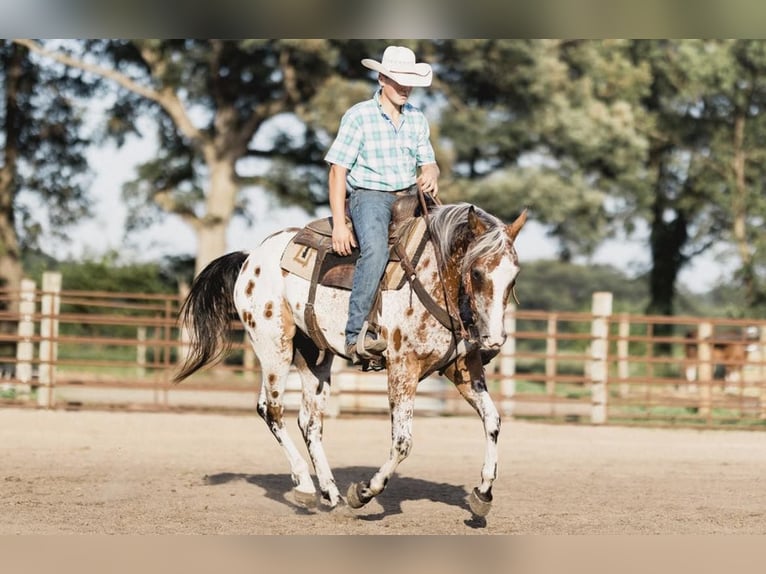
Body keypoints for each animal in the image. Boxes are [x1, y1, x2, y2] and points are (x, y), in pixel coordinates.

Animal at [173, 202, 528, 520]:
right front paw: (364, 492)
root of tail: (251, 258)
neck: (434, 277)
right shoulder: (403, 367)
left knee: (309, 422)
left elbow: (492, 421)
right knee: (271, 410)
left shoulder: (462, 368)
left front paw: (483, 493)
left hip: (315, 359)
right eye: (478, 272)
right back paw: (305, 486)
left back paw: (331, 494)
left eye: (514, 276)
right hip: (273, 345)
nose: (495, 340)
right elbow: (402, 442)